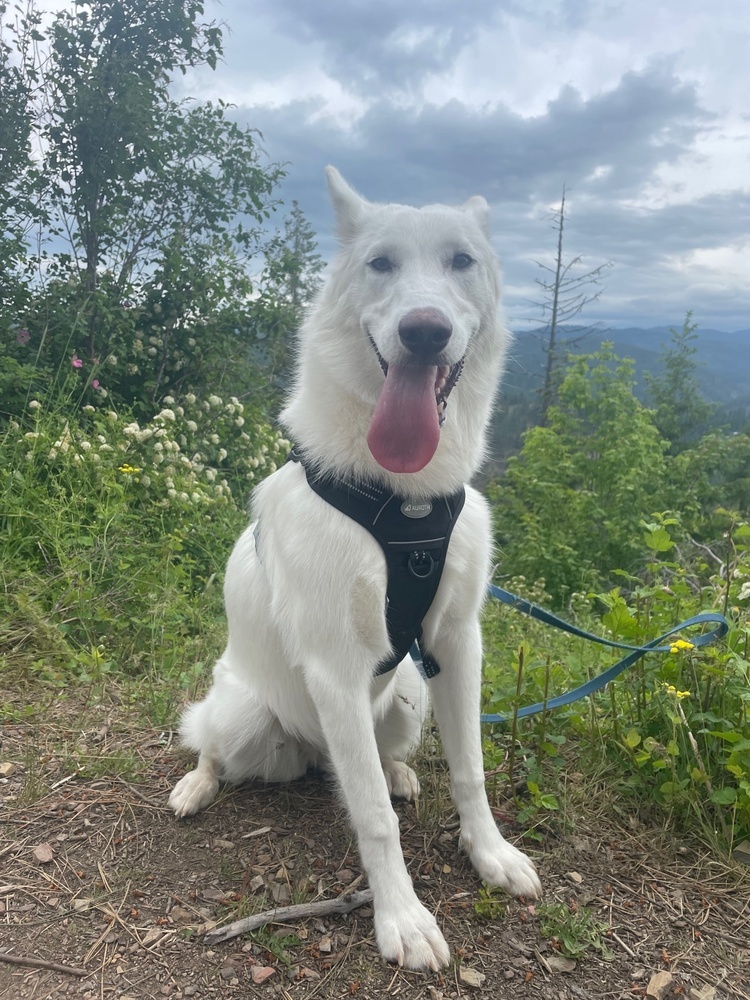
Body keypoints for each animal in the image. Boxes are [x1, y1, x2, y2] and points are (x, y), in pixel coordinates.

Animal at [170, 170, 544, 968]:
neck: (405, 502)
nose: (424, 330)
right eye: (381, 264)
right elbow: (372, 819)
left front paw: (490, 854)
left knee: (375, 758)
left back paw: (398, 771)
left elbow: (470, 770)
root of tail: (312, 753)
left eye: (461, 261)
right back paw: (198, 785)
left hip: (408, 692)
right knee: (213, 743)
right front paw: (402, 917)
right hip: (245, 713)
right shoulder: (335, 665)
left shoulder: (458, 642)